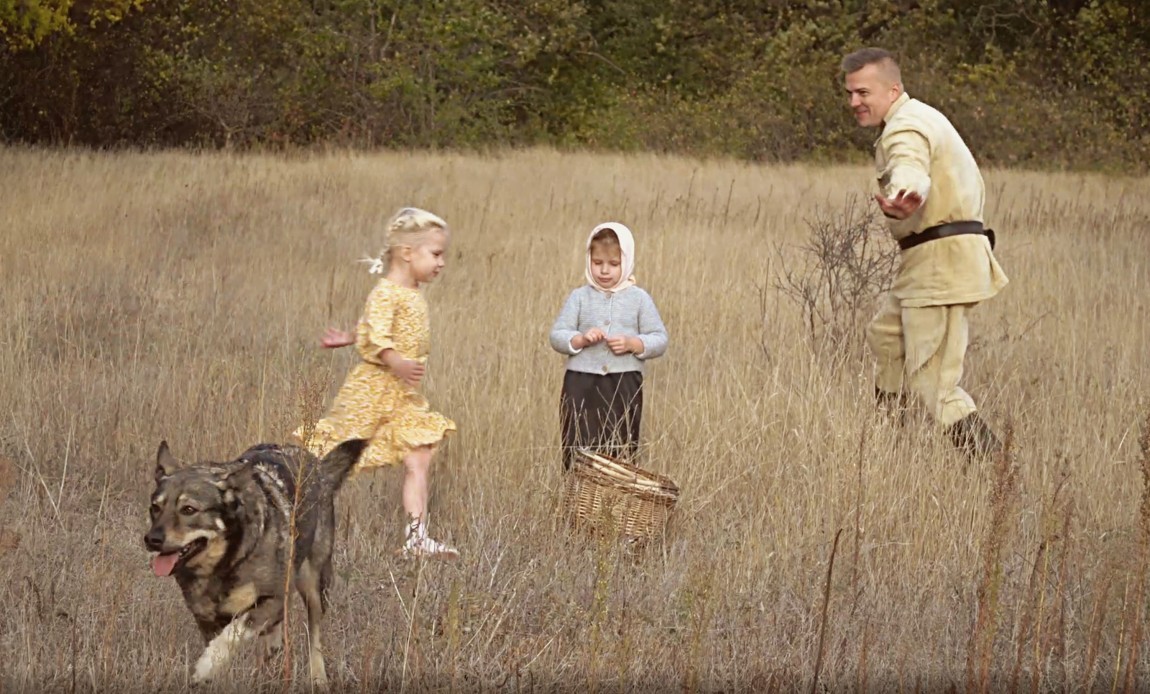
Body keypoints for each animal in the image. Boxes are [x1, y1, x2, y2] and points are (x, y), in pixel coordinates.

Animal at [143, 439, 365, 685]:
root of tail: (318, 466)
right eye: (155, 507)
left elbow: (233, 633)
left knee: (313, 634)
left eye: (188, 509)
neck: (225, 562)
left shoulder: (272, 599)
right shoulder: (206, 617)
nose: (152, 539)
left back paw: (317, 677)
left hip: (314, 584)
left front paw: (205, 667)